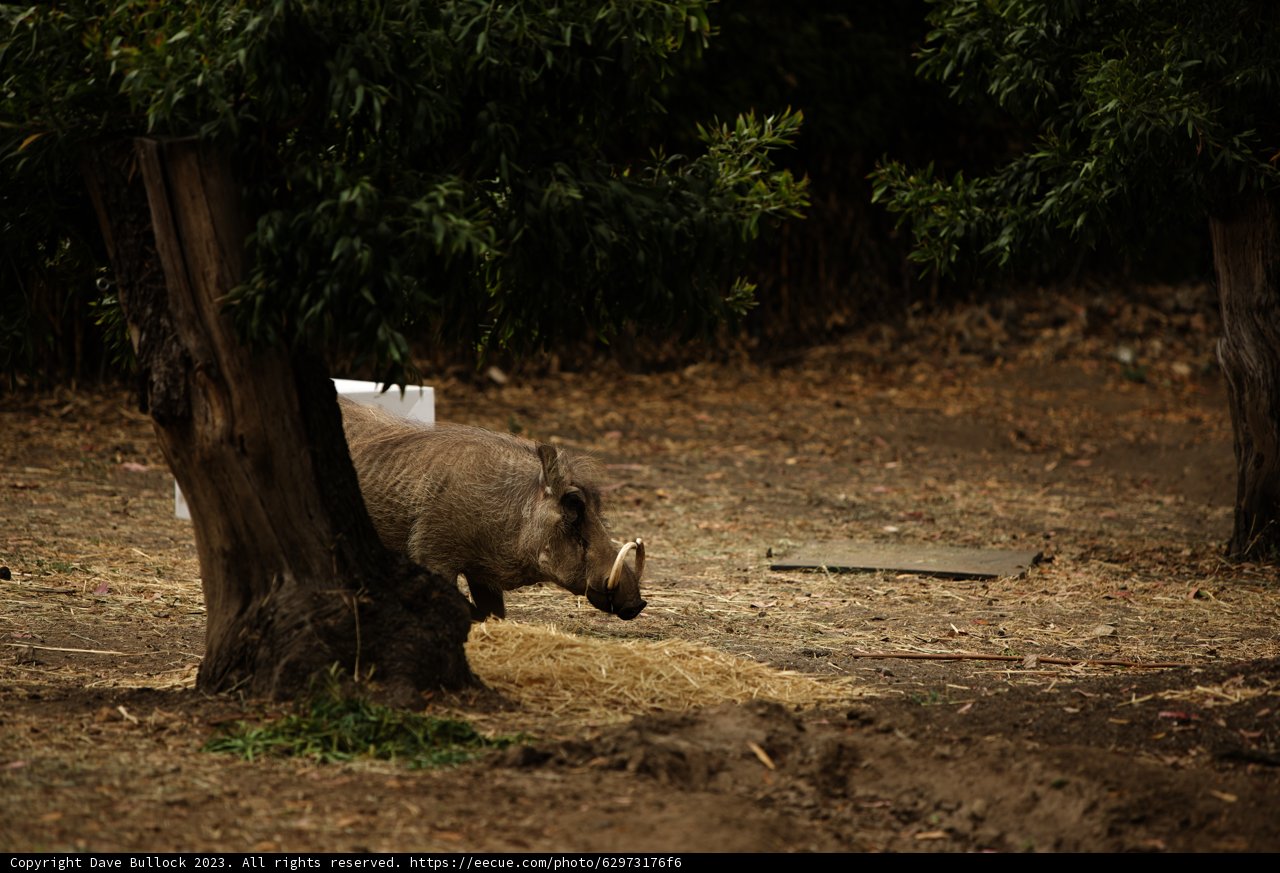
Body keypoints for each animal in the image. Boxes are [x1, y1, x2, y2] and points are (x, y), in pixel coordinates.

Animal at [338, 396, 646, 622]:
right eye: (574, 508)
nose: (637, 603)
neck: (508, 507)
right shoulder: (433, 557)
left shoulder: (484, 575)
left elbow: (494, 613)